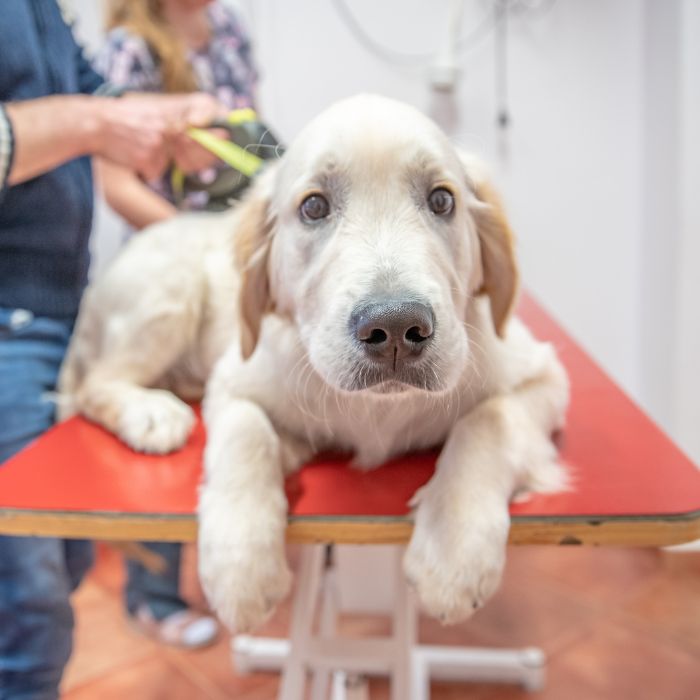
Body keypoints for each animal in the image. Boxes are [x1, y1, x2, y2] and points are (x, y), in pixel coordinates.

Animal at [57, 94, 568, 636]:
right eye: (314, 207)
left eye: (442, 201)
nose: (394, 328)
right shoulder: (234, 377)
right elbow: (246, 436)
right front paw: (241, 567)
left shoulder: (545, 375)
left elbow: (489, 420)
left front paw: (453, 552)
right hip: (170, 291)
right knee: (95, 384)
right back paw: (150, 413)